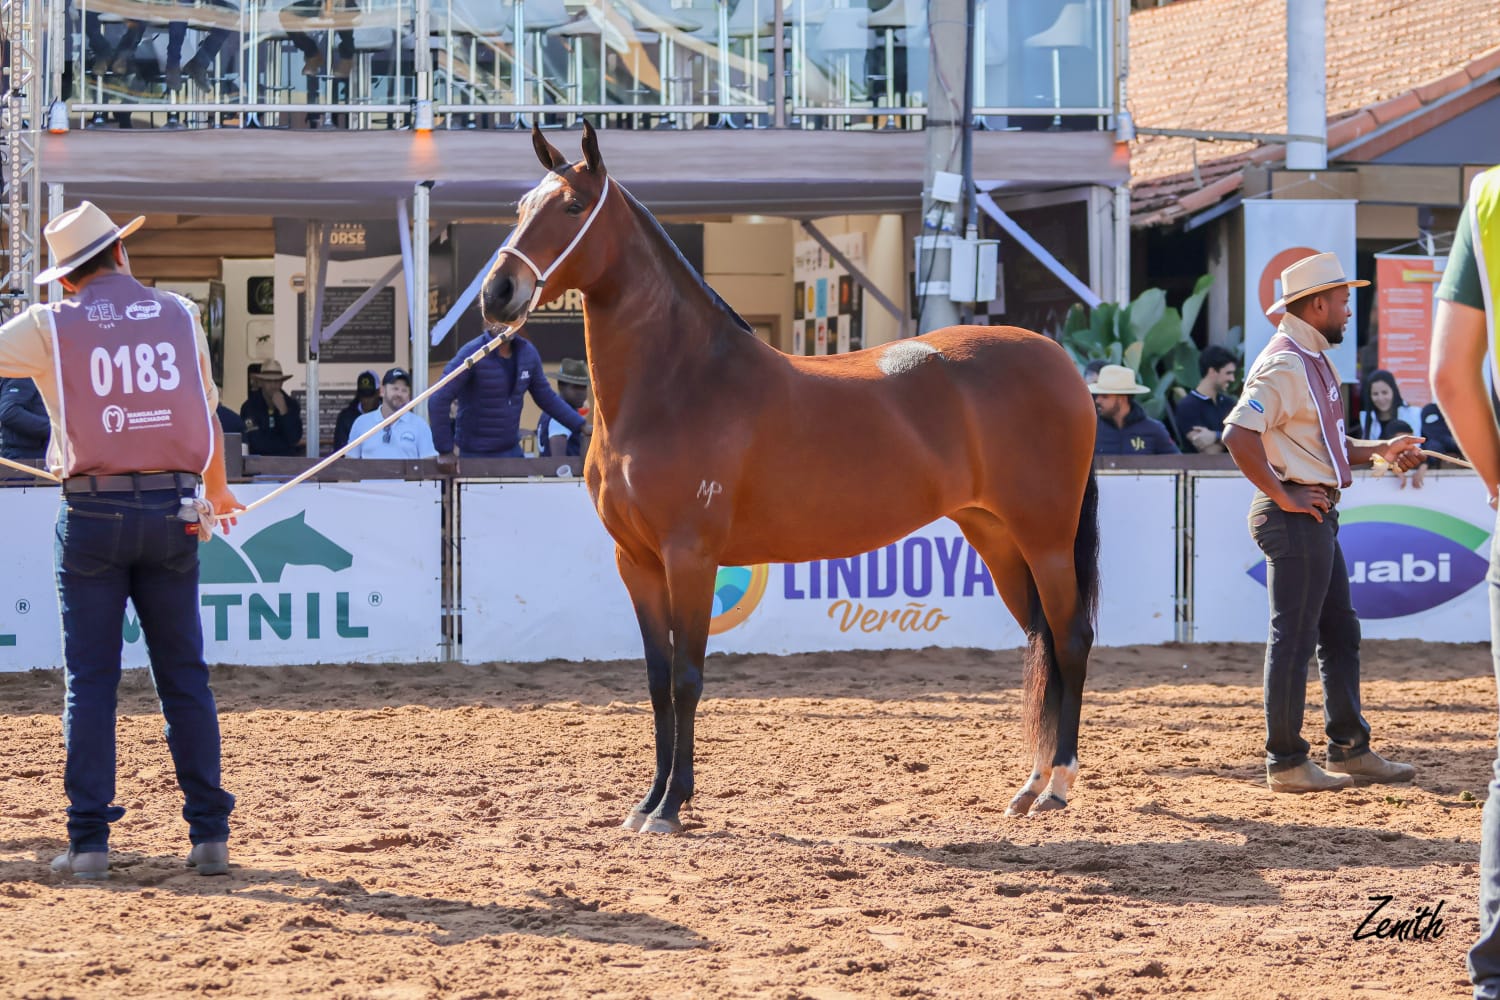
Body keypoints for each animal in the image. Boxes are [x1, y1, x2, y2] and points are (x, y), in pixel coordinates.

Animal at [481, 122, 1101, 834]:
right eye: (520, 206)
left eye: (573, 207)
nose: (497, 293)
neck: (679, 383)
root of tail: (1060, 362)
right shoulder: (636, 561)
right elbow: (657, 681)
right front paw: (646, 804)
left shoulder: (691, 557)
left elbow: (687, 677)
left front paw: (673, 806)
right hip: (995, 535)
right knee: (1040, 640)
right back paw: (1030, 785)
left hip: (1046, 537)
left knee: (1071, 638)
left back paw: (1059, 785)